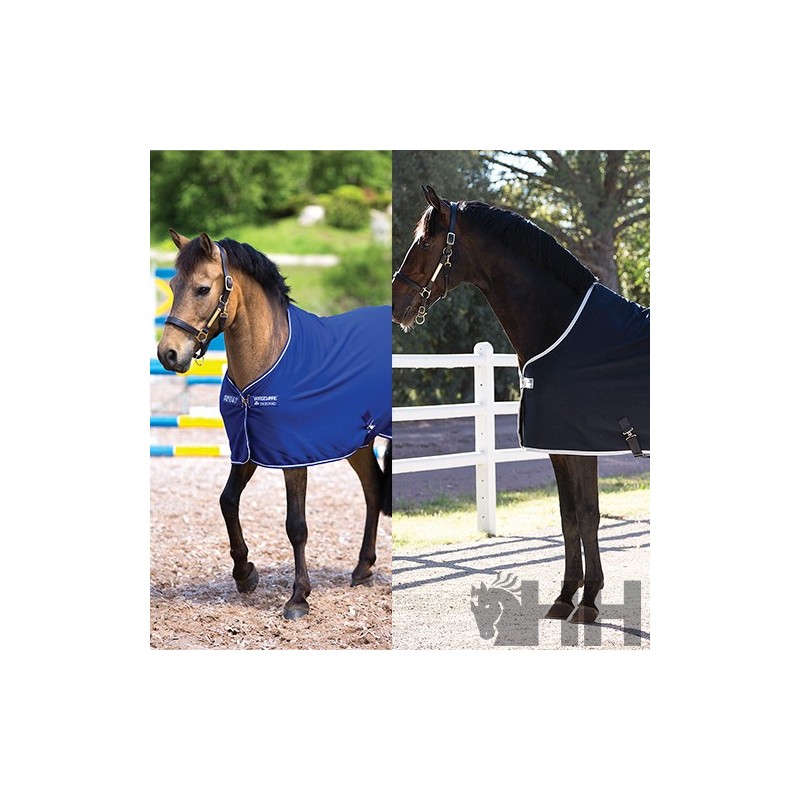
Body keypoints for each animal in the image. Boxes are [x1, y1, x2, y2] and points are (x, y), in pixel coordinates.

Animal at [156, 230, 392, 620]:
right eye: (174, 286)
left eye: (203, 289)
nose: (168, 354)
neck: (269, 356)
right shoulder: (248, 449)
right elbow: (227, 501)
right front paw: (244, 573)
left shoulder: (293, 456)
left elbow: (296, 525)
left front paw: (298, 597)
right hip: (357, 442)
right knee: (373, 487)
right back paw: (362, 568)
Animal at [392, 185, 649, 625]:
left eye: (425, 241)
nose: (395, 306)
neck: (561, 331)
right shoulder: (560, 449)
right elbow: (568, 517)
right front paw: (565, 597)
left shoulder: (581, 447)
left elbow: (588, 515)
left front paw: (589, 602)